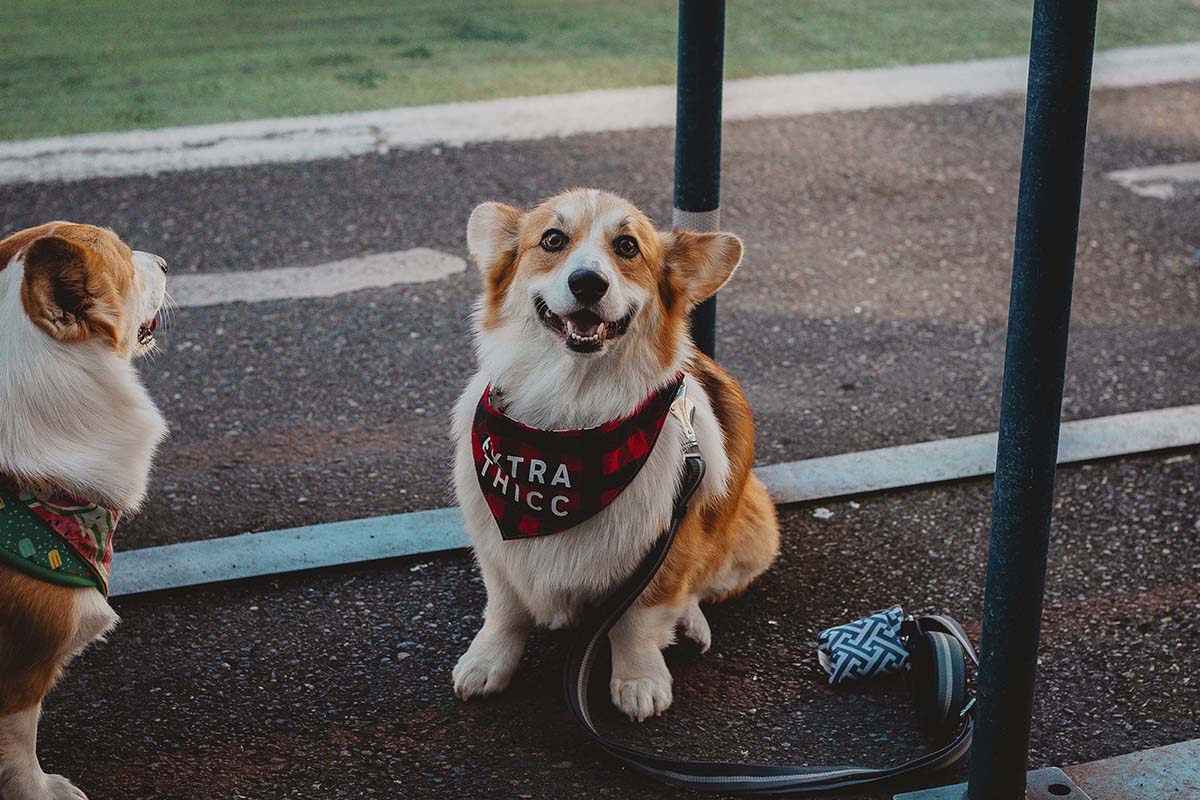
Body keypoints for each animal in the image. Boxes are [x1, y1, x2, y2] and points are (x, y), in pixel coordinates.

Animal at [453, 190, 782, 724]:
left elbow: (637, 621)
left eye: (627, 246)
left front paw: (639, 682)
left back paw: (690, 624)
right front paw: (486, 664)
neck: (570, 417)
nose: (588, 282)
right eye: (552, 240)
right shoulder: (497, 548)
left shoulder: (665, 546)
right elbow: (505, 610)